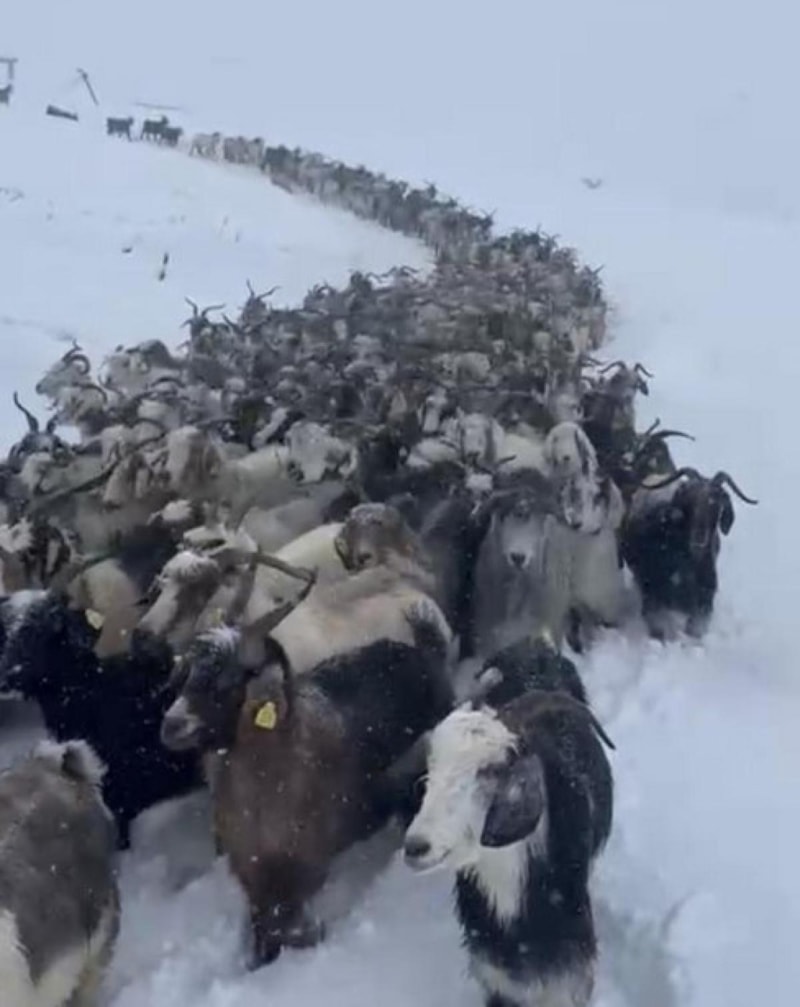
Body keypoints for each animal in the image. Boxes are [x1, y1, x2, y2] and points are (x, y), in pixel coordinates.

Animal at [162, 605, 454, 967]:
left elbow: (290, 924)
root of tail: (427, 651)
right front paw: (259, 962)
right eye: (186, 677)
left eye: (225, 683)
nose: (171, 725)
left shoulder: (302, 864)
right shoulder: (251, 869)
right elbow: (262, 925)